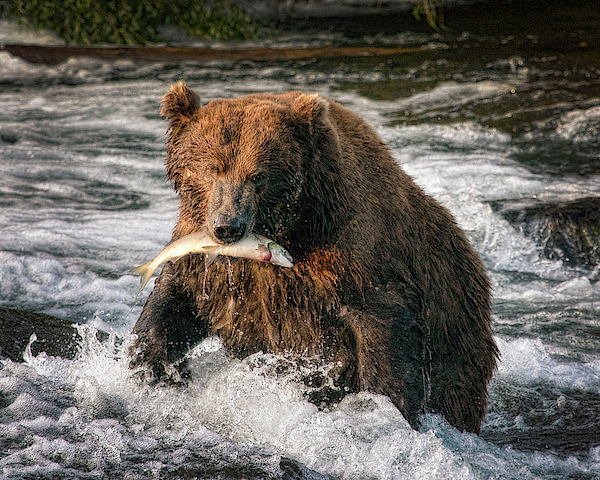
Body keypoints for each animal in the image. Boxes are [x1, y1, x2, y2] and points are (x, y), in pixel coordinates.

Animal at [130, 82, 496, 436]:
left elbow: (384, 335)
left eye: (257, 174)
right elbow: (173, 304)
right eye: (211, 168)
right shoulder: (207, 261)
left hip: (458, 336)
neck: (296, 224)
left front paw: (384, 408)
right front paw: (146, 368)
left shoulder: (355, 259)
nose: (228, 226)